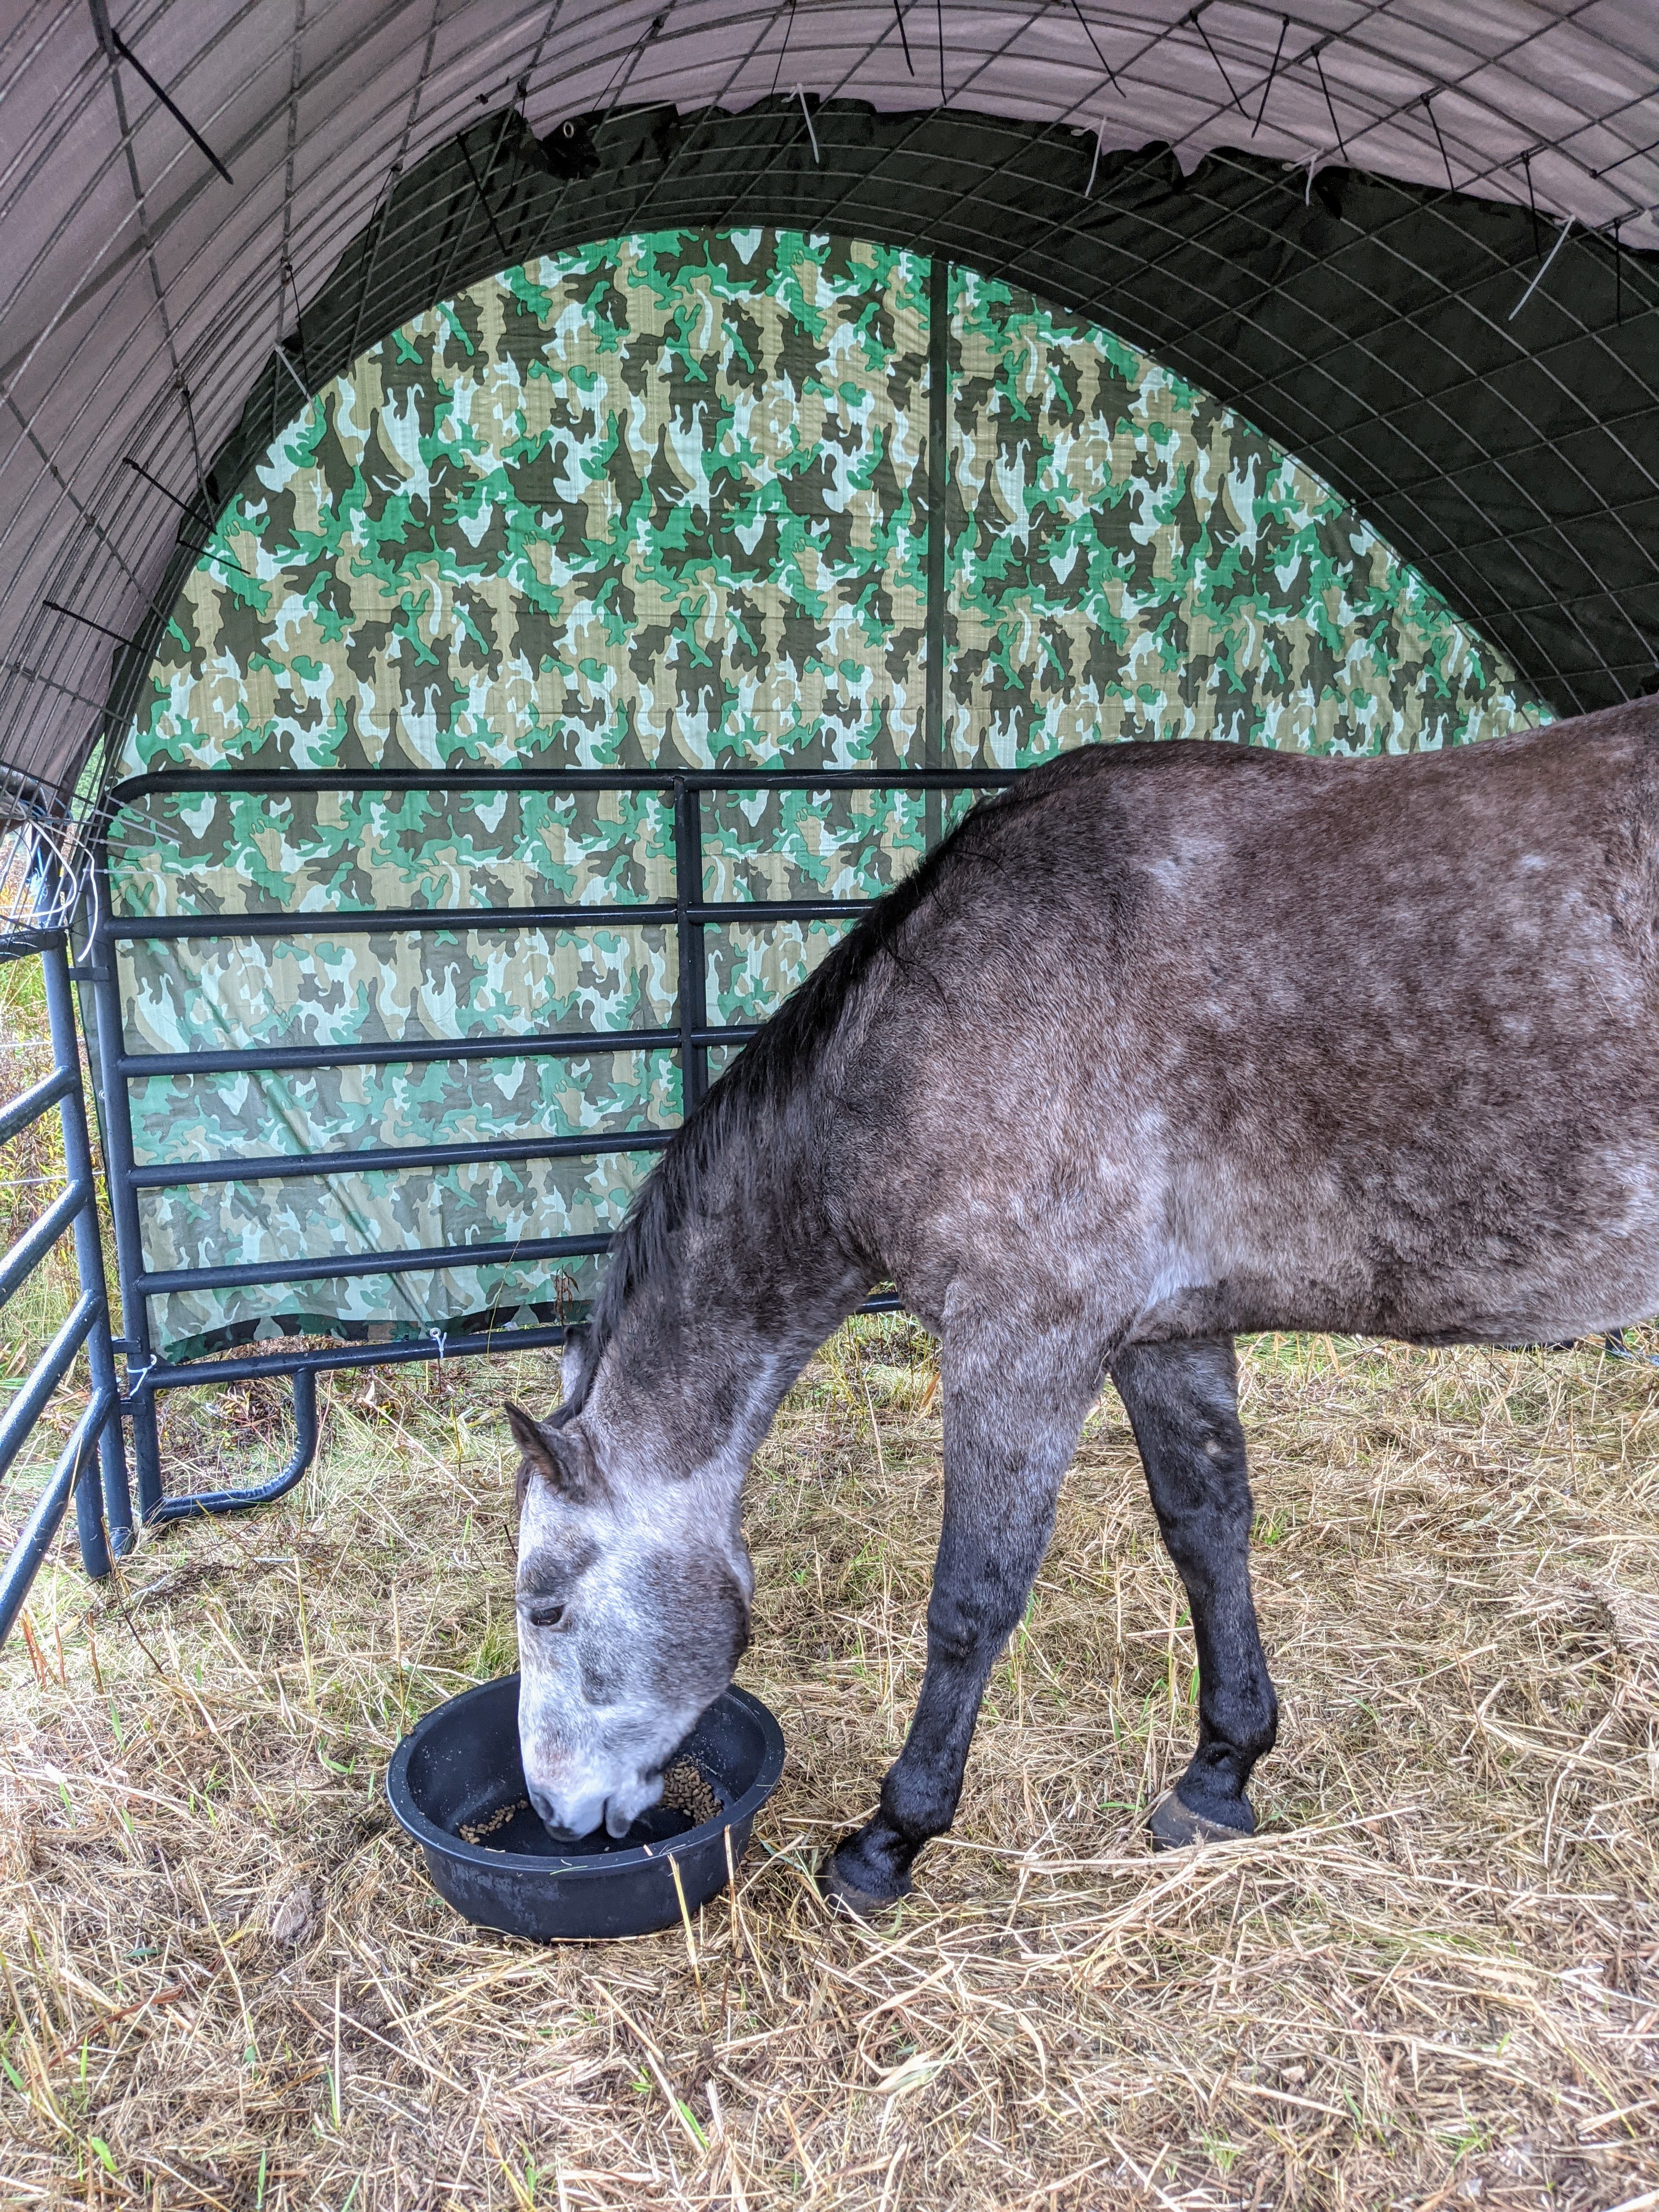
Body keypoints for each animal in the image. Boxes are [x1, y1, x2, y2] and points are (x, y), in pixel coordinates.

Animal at [504, 701, 1659, 1914]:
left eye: (545, 1605)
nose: (556, 1812)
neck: (935, 1022)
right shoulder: (1165, 1334)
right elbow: (1207, 1530)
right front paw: (1220, 1774)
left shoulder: (1024, 1339)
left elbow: (972, 1599)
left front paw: (890, 1837)